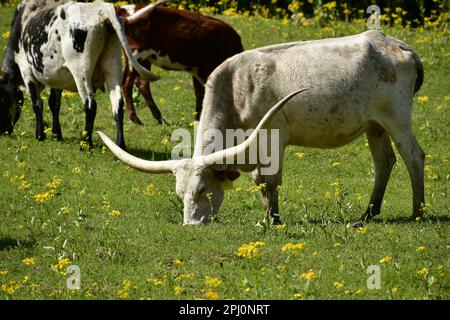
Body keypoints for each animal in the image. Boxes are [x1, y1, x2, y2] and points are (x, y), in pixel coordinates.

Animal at [0, 0, 155, 148]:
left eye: (3, 100)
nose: (4, 132)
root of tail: (100, 8)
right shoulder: (55, 77)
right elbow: (54, 103)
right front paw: (56, 135)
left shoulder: (26, 71)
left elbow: (37, 103)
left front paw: (40, 135)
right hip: (113, 67)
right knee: (117, 104)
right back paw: (120, 144)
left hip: (81, 71)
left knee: (90, 105)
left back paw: (86, 143)